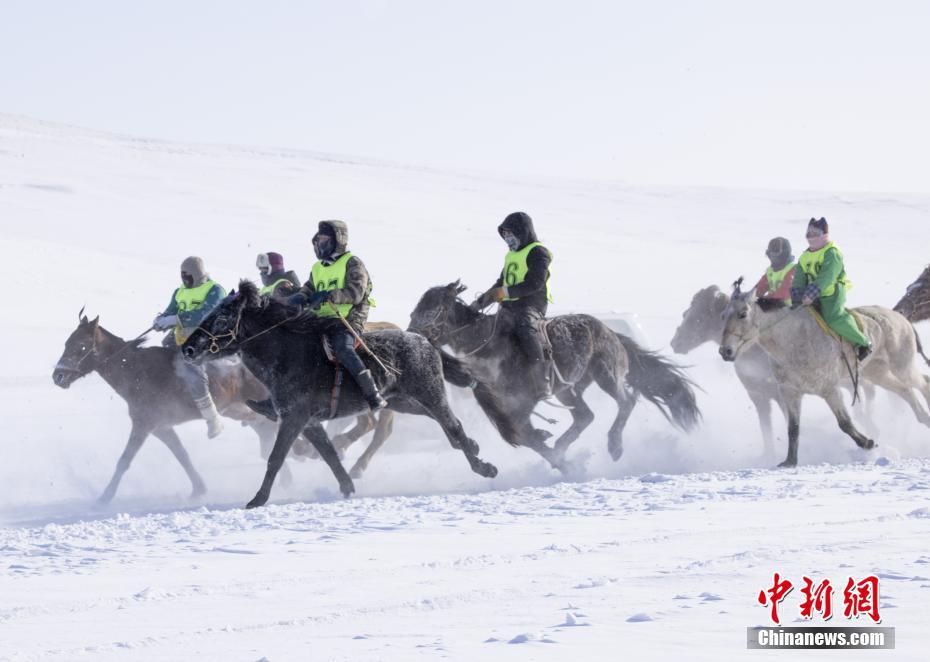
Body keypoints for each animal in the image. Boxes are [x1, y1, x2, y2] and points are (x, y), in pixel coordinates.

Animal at [52, 310, 280, 504]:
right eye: (66, 343)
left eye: (81, 346)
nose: (58, 376)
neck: (135, 371)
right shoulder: (161, 427)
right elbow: (182, 455)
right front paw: (199, 489)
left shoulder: (143, 424)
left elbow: (124, 460)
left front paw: (104, 498)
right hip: (241, 409)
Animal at [181, 282, 516, 510]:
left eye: (221, 318)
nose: (188, 348)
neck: (287, 354)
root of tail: (424, 339)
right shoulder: (310, 423)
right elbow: (329, 455)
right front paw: (347, 488)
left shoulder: (294, 418)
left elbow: (276, 457)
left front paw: (257, 499)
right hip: (403, 401)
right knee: (445, 425)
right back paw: (475, 449)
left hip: (429, 393)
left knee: (452, 426)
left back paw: (483, 467)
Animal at [406, 280, 696, 472]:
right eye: (415, 309)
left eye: (435, 309)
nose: (412, 335)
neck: (487, 345)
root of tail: (611, 332)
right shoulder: (506, 405)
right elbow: (524, 436)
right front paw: (562, 460)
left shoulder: (524, 401)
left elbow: (524, 435)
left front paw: (559, 456)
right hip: (568, 390)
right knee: (585, 416)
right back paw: (563, 448)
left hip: (606, 375)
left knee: (626, 401)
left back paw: (614, 446)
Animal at [720, 278, 928, 466]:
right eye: (723, 316)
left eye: (742, 314)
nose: (725, 351)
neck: (794, 342)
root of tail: (899, 317)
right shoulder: (790, 393)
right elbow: (793, 428)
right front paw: (790, 461)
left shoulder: (830, 389)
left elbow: (844, 422)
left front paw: (868, 443)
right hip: (877, 373)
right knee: (906, 390)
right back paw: (923, 417)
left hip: (902, 367)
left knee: (923, 382)